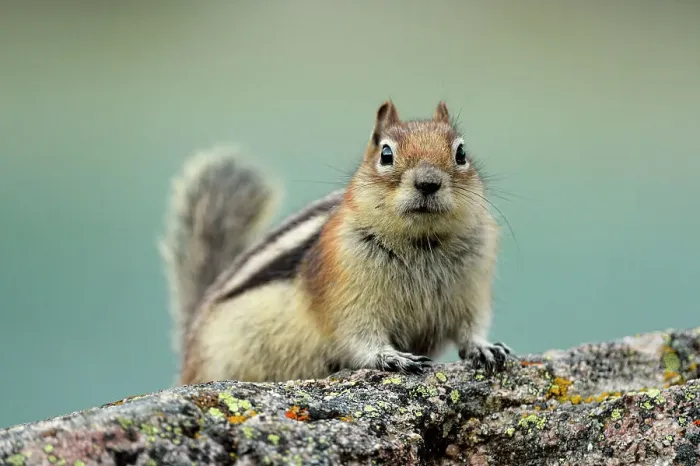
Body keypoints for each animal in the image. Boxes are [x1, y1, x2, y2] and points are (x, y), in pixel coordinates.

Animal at [161, 100, 512, 385]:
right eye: (386, 154)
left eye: (461, 153)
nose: (428, 182)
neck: (422, 243)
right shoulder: (347, 294)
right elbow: (357, 335)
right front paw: (391, 357)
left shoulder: (471, 291)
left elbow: (471, 326)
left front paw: (485, 347)